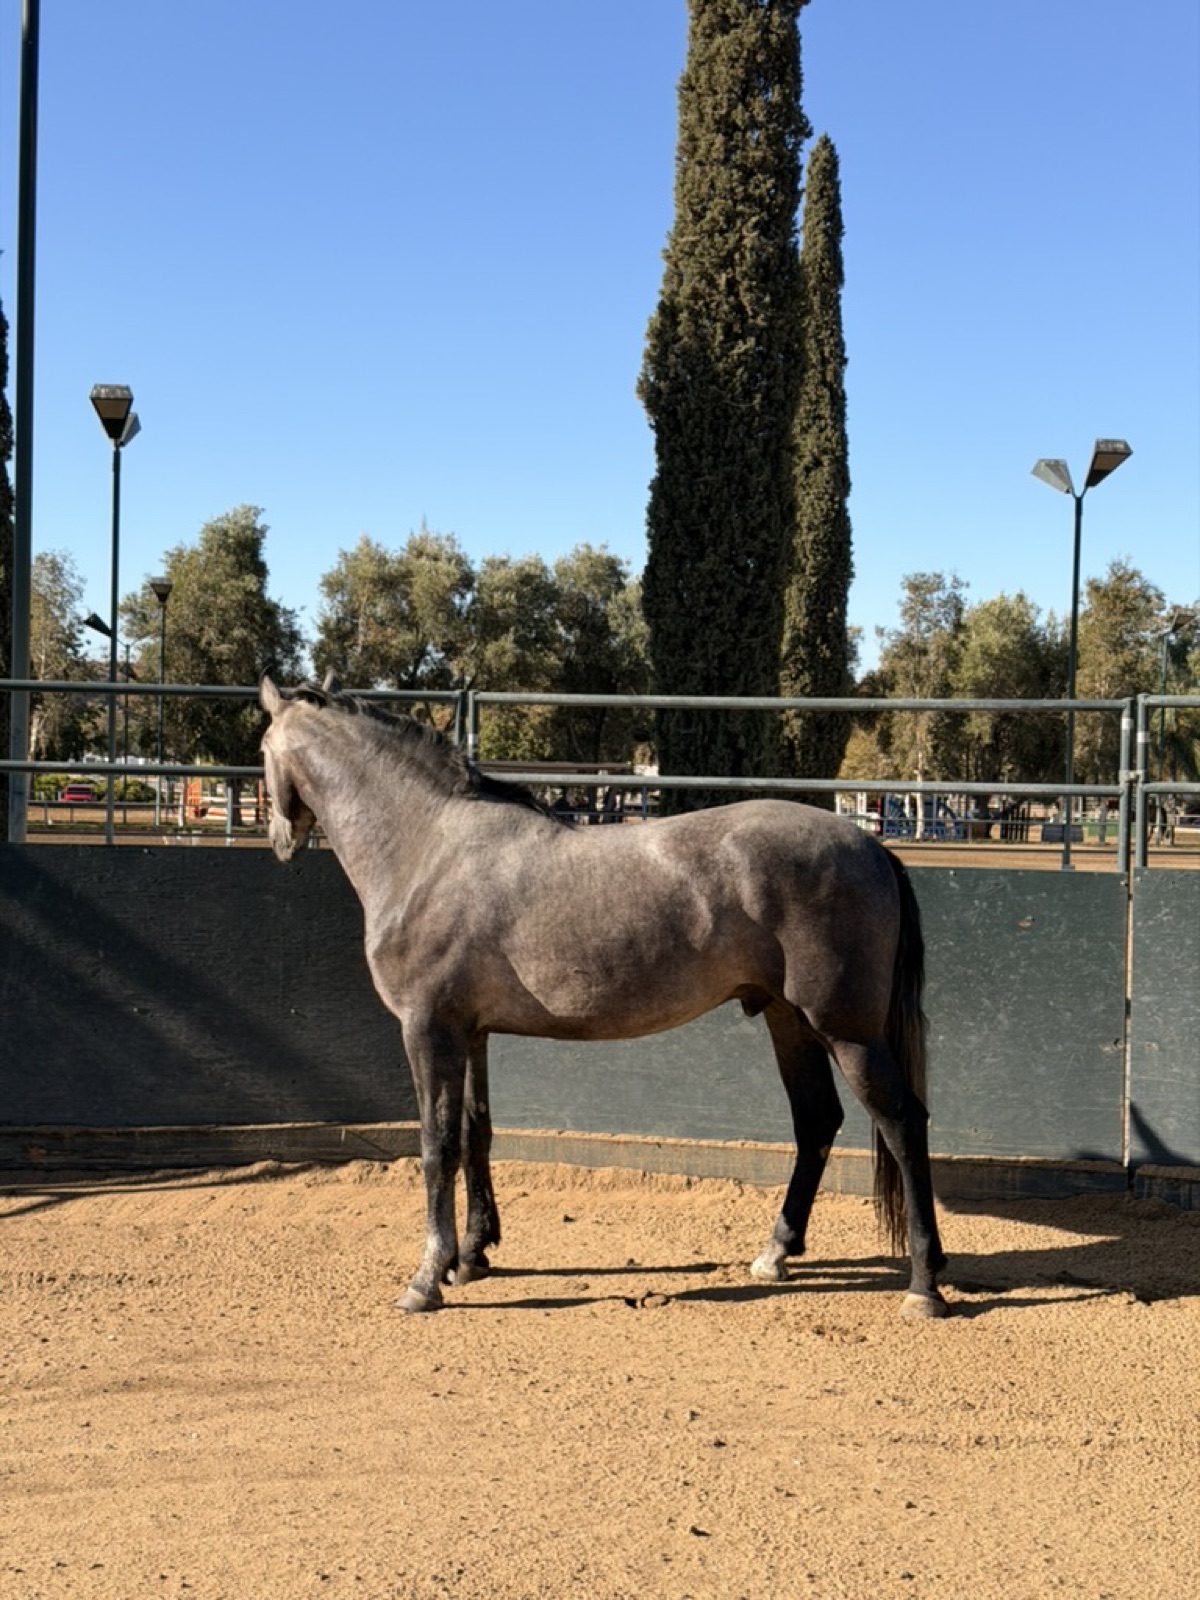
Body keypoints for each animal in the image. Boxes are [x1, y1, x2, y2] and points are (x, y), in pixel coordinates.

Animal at [259, 676, 949, 1319]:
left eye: (262, 751)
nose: (279, 841)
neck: (429, 848)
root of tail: (872, 847)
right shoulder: (470, 1033)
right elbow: (476, 1133)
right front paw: (473, 1256)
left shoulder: (428, 1030)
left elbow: (437, 1146)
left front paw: (428, 1277)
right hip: (789, 1022)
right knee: (817, 1122)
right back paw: (776, 1252)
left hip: (847, 1030)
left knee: (901, 1121)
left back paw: (923, 1284)